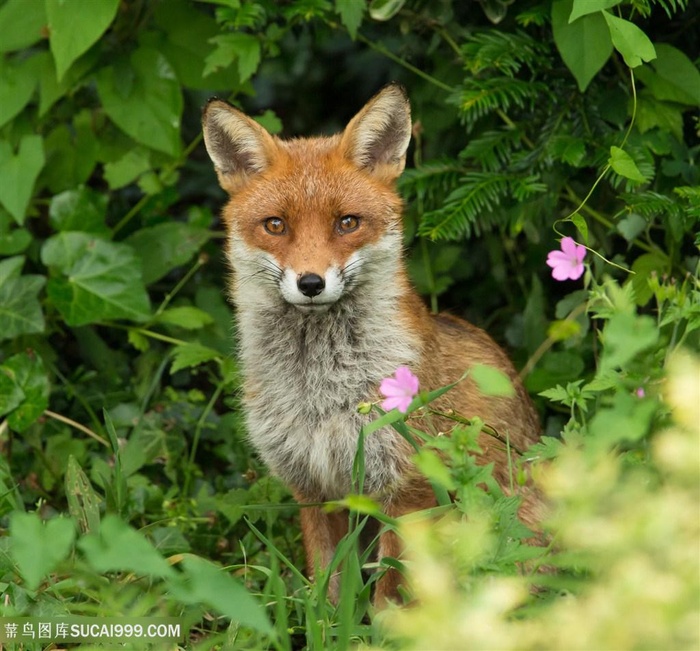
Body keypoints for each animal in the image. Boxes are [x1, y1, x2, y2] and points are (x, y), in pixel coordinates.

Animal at [202, 85, 540, 608]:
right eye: (276, 225)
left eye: (347, 223)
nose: (311, 283)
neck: (319, 394)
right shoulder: (313, 485)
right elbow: (328, 593)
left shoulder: (407, 487)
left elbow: (389, 598)